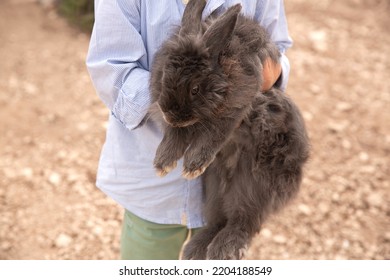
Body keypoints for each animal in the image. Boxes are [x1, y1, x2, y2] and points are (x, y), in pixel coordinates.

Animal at [148, 0, 310, 260]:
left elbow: (213, 134)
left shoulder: (236, 107)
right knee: (218, 219)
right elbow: (175, 135)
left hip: (255, 185)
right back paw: (196, 249)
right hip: (214, 188)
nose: (170, 113)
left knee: (243, 220)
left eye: (195, 88)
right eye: (164, 77)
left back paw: (224, 249)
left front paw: (193, 165)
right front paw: (163, 162)